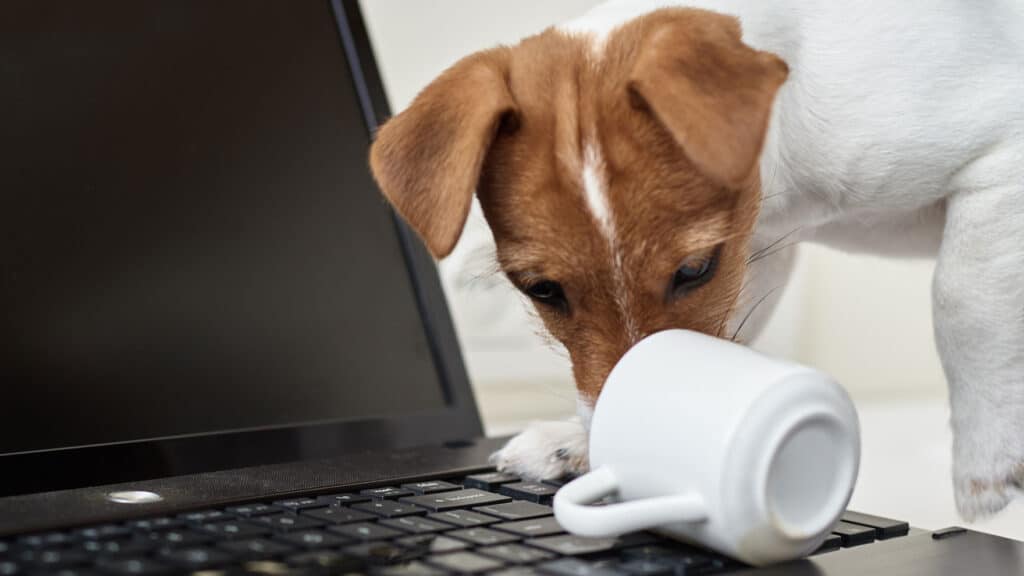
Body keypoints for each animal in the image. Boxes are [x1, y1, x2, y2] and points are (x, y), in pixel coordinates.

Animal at [372, 0, 1024, 518]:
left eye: (693, 270)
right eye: (542, 290)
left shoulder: (1002, 160)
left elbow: (962, 303)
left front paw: (985, 456)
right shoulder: (755, 250)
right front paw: (578, 442)